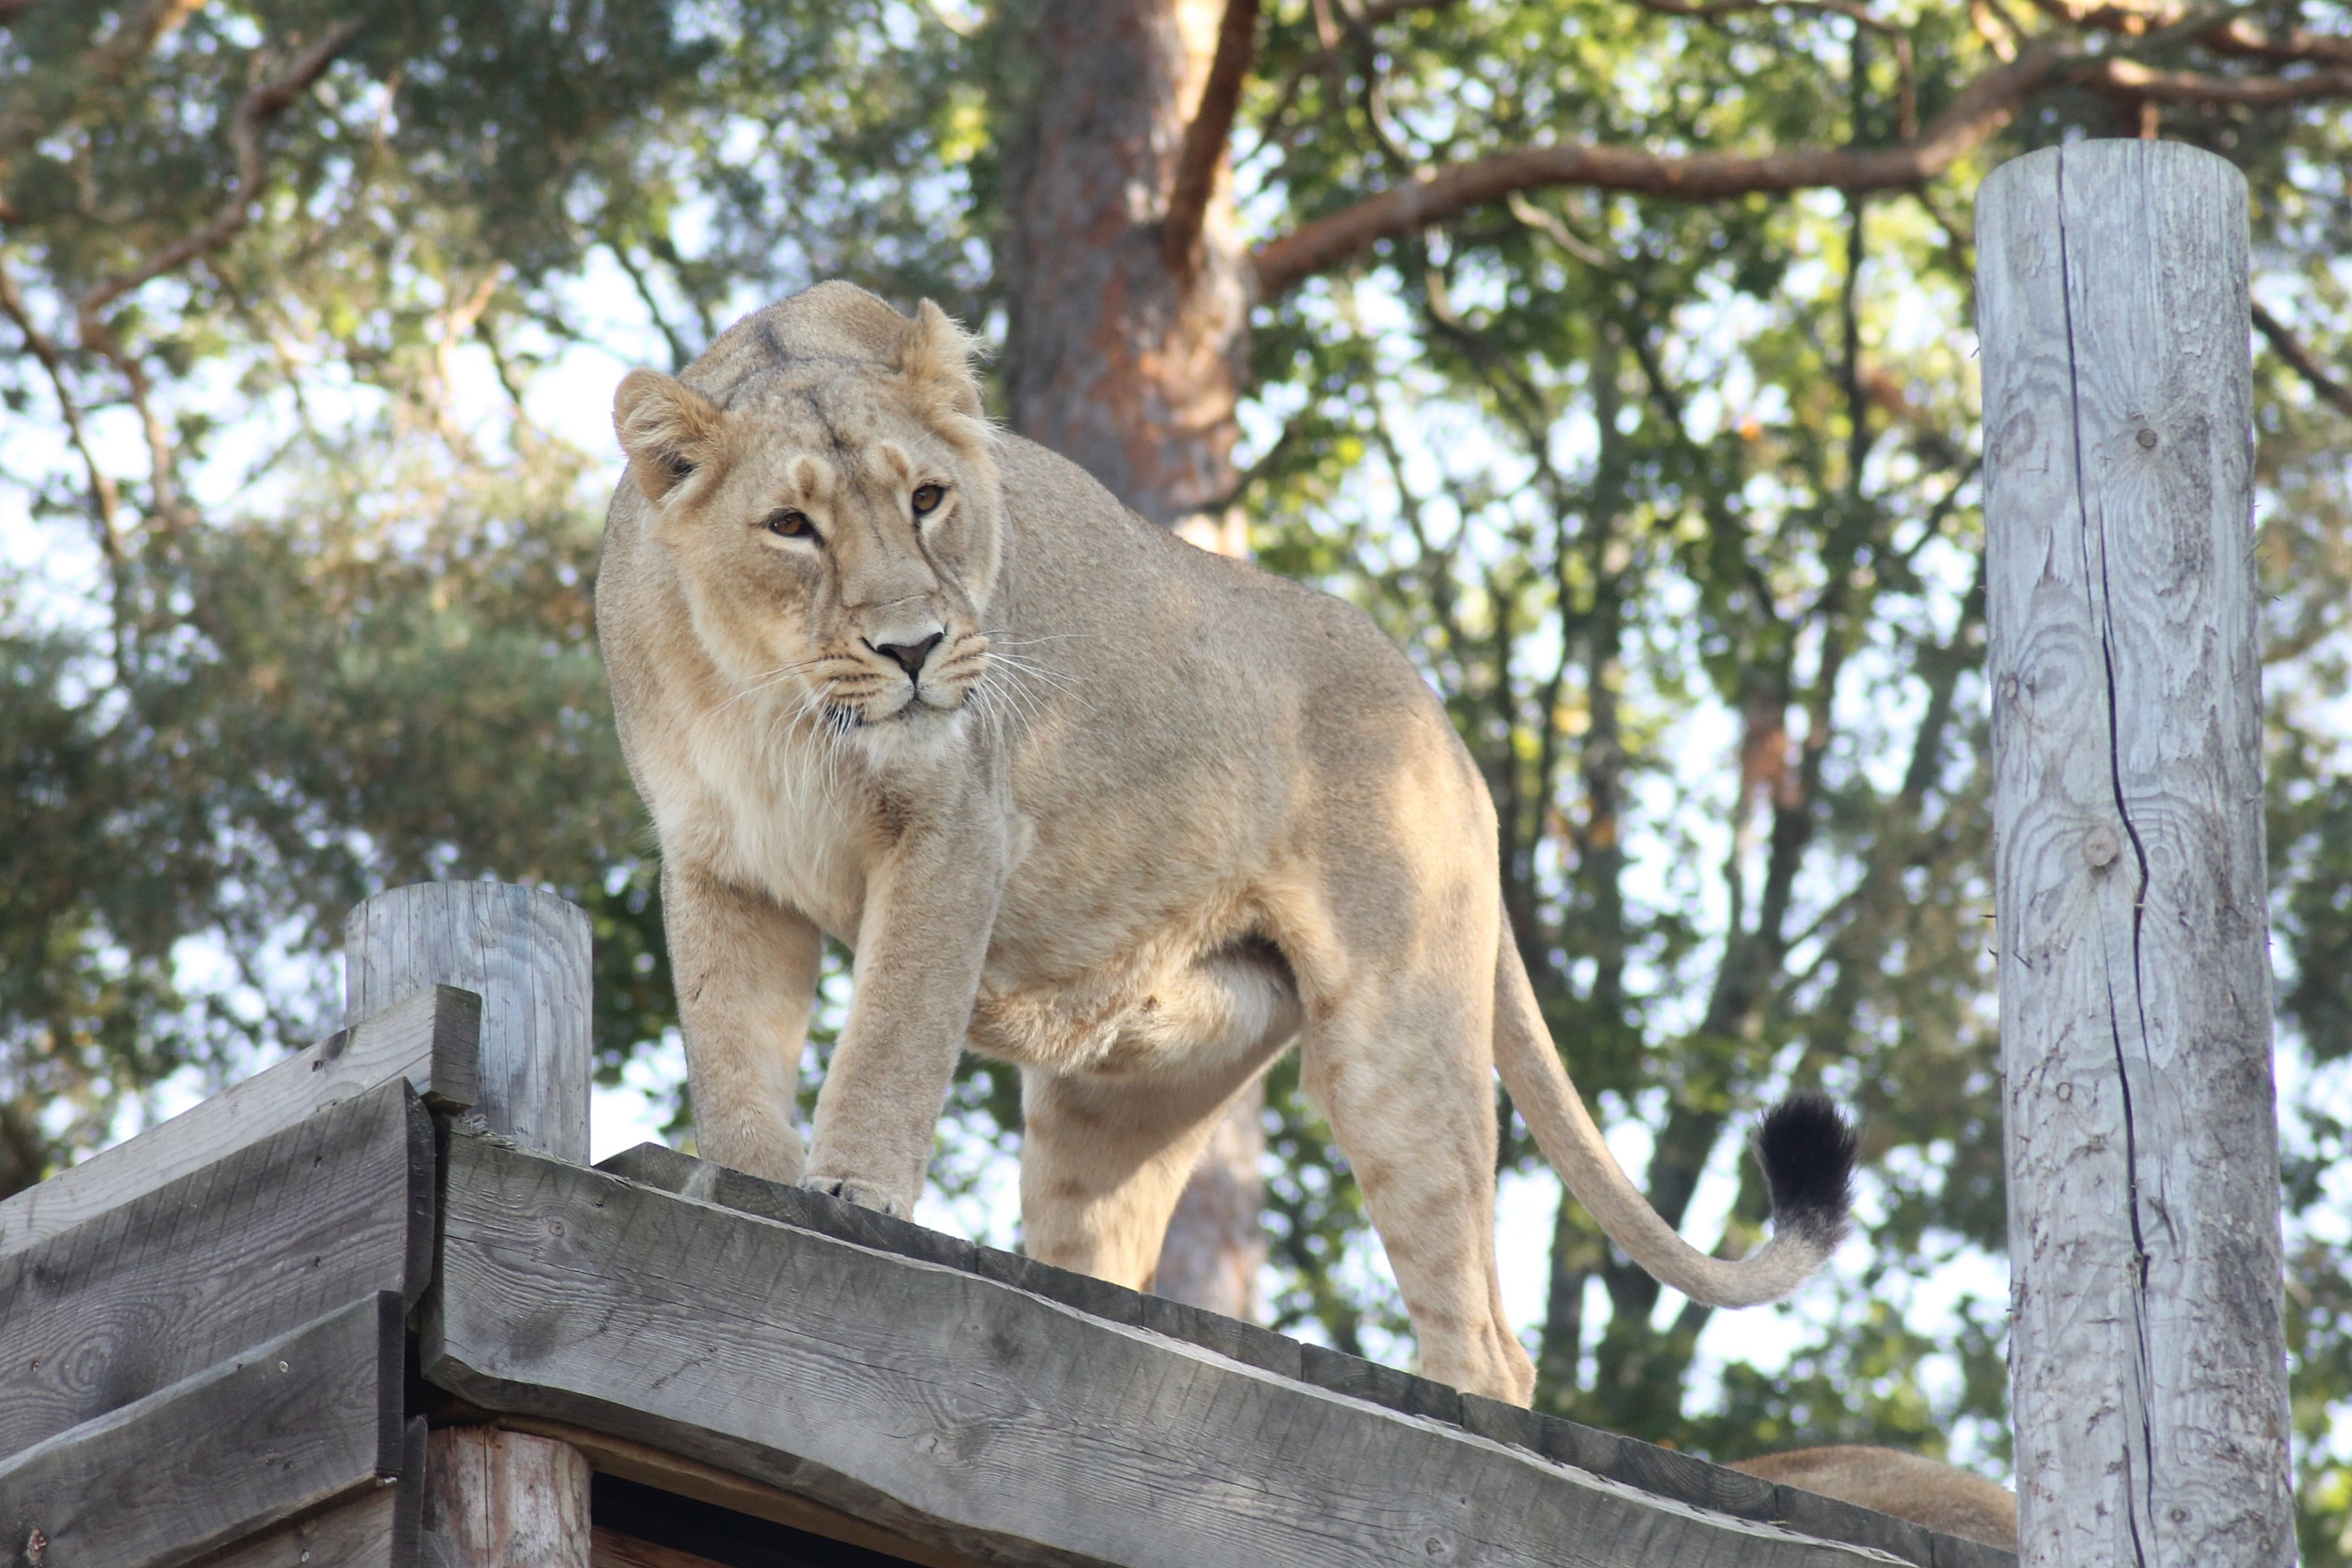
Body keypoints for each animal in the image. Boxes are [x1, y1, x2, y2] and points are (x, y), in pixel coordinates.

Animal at [593, 280, 1857, 1405]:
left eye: (929, 499)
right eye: (790, 527)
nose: (914, 649)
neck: (779, 708)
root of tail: (1451, 738)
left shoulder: (954, 827)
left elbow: (892, 1039)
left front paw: (850, 1198)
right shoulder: (718, 866)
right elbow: (731, 1054)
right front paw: (751, 1184)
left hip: (1397, 1044)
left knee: (1488, 1343)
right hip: (1125, 1092)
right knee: (1104, 1250)